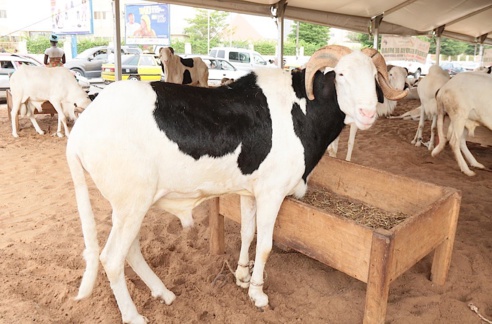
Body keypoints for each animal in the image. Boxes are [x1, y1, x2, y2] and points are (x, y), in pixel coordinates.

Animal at [64, 45, 404, 324]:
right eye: (341, 74)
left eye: (375, 77)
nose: (368, 112)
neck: (299, 111)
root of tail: (82, 127)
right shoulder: (272, 192)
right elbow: (265, 245)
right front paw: (258, 293)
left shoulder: (250, 189)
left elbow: (247, 233)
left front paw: (241, 276)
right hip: (132, 203)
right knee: (111, 258)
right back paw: (134, 316)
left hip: (128, 206)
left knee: (130, 251)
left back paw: (163, 293)